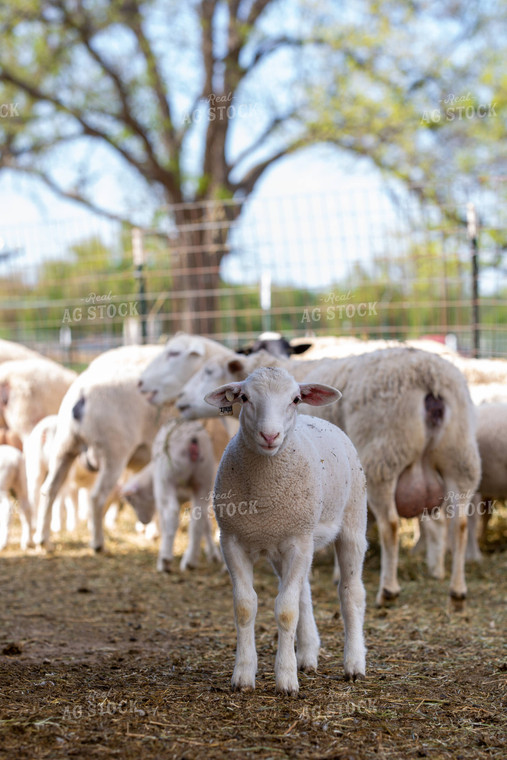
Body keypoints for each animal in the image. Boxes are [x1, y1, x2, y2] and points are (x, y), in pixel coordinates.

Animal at [204, 366, 368, 696]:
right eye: (244, 397)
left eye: (295, 399)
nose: (270, 435)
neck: (264, 497)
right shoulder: (233, 540)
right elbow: (245, 606)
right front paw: (243, 675)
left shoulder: (298, 542)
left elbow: (286, 611)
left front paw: (286, 680)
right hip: (287, 543)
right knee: (303, 591)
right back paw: (306, 655)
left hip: (352, 521)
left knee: (351, 592)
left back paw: (354, 664)